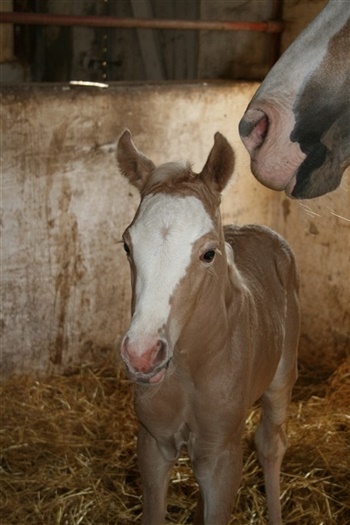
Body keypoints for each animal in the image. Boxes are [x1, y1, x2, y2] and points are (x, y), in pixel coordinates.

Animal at [117, 128, 298, 524]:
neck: (191, 366)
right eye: (126, 245)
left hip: (281, 378)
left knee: (270, 444)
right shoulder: (153, 445)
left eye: (209, 253)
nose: (141, 354)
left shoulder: (222, 457)